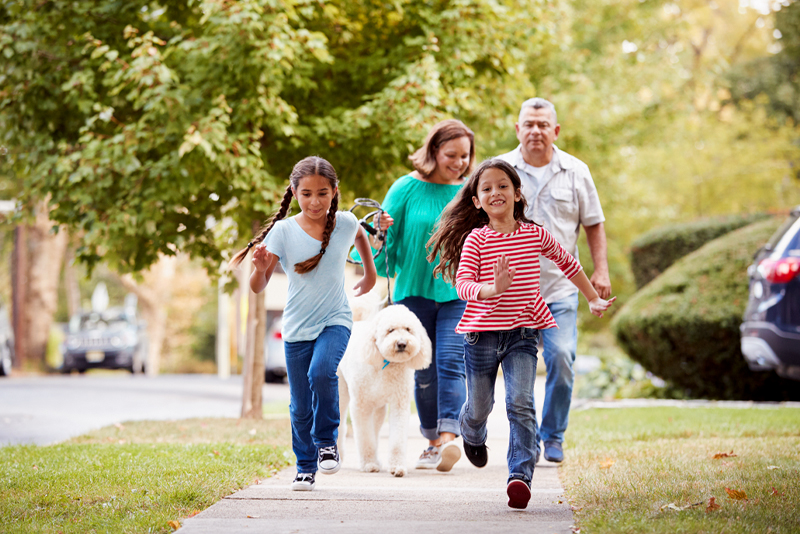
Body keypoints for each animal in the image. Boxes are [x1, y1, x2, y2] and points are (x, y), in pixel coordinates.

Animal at [340, 304, 434, 480]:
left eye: (408, 329)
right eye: (390, 330)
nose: (402, 343)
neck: (386, 363)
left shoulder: (400, 404)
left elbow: (397, 439)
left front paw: (397, 466)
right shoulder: (360, 406)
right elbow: (365, 438)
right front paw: (369, 464)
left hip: (378, 408)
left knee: (375, 430)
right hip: (341, 392)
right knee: (340, 425)